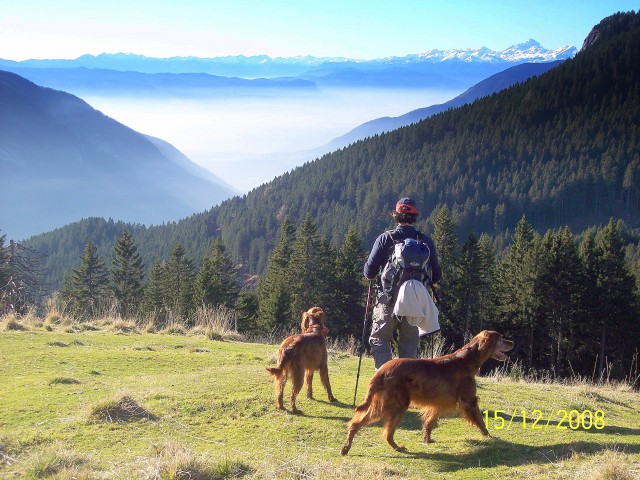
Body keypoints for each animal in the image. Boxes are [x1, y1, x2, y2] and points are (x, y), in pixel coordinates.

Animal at [340, 330, 516, 454]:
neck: (467, 359)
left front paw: (427, 439)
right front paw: (489, 435)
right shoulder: (469, 400)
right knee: (379, 430)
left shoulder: (439, 403)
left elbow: (429, 422)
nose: (512, 342)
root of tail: (382, 370)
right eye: (500, 338)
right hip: (396, 405)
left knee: (366, 425)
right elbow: (480, 420)